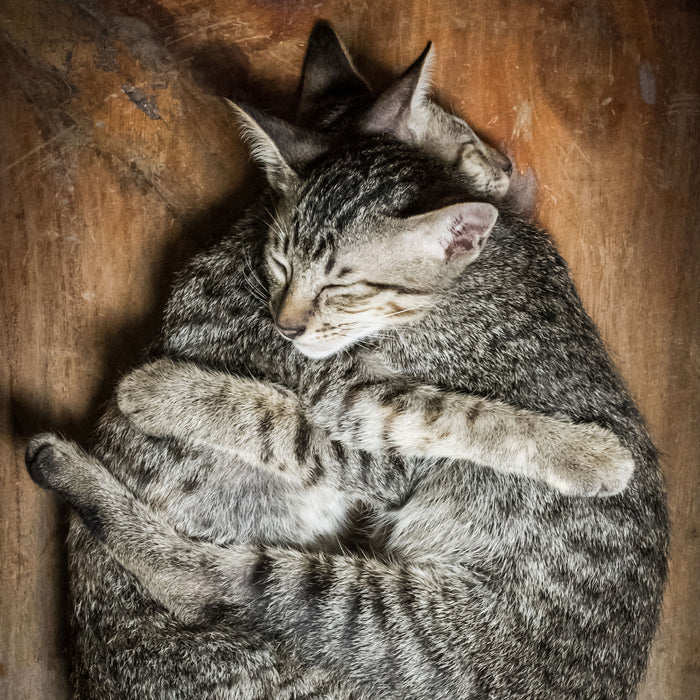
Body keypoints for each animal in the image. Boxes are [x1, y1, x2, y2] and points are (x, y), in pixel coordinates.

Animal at [26, 21, 668, 700]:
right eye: (467, 144)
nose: (508, 165)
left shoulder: (373, 435)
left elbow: (418, 415)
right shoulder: (362, 423)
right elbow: (424, 415)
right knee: (212, 587)